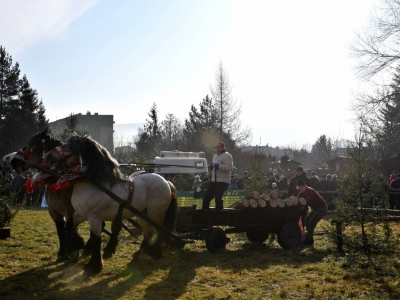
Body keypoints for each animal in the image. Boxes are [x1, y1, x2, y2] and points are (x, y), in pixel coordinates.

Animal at [44, 136, 177, 274]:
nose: (47, 156)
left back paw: (154, 254)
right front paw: (76, 247)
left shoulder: (94, 217)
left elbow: (96, 239)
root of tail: (166, 182)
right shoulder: (81, 214)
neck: (92, 183)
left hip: (154, 213)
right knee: (148, 232)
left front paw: (94, 266)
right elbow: (69, 226)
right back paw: (141, 252)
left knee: (159, 230)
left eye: (70, 146)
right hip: (143, 214)